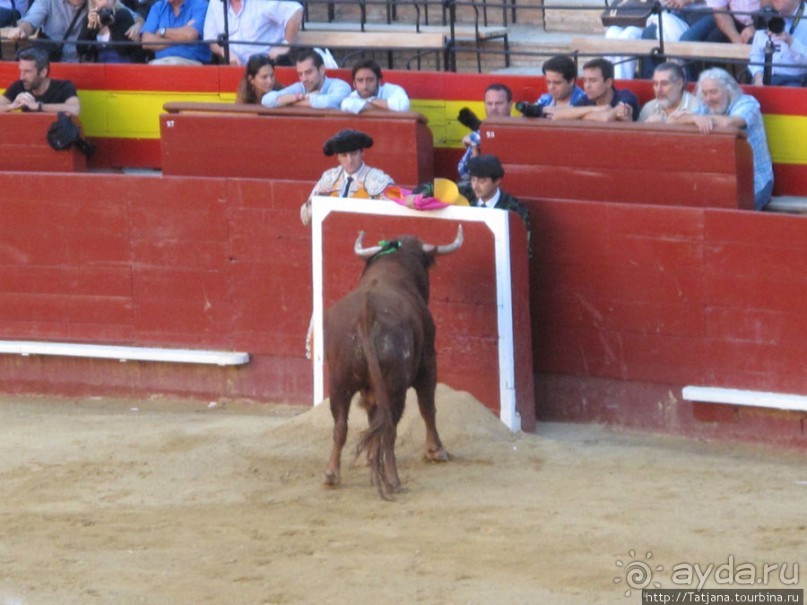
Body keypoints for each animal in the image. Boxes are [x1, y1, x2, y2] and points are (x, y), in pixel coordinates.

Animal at [320, 224, 460, 498]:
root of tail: (366, 312)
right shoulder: (429, 362)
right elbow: (428, 407)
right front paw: (436, 451)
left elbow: (369, 418)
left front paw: (369, 457)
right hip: (394, 385)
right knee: (389, 429)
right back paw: (393, 480)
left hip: (338, 381)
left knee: (341, 425)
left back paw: (332, 474)